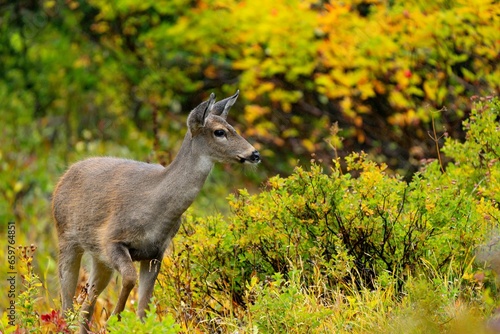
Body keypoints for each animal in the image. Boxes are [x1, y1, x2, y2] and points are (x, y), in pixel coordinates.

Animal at [52, 90, 260, 332]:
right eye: (220, 132)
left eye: (232, 126)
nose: (254, 154)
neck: (155, 209)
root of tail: (64, 176)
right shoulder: (112, 239)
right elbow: (130, 279)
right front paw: (115, 318)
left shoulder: (155, 253)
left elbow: (144, 309)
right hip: (67, 238)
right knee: (67, 304)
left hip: (98, 257)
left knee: (86, 305)